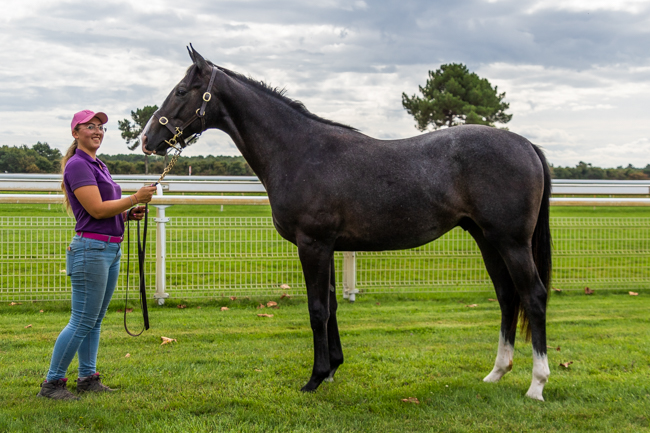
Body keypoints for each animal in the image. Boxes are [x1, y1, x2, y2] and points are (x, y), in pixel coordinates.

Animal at [142, 45, 552, 400]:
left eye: (181, 91)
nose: (148, 139)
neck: (300, 151)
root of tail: (526, 145)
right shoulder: (327, 247)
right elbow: (332, 306)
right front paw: (333, 368)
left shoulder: (313, 245)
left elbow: (317, 310)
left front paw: (314, 378)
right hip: (487, 239)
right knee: (507, 296)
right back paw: (496, 372)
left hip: (511, 242)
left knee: (533, 296)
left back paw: (537, 385)